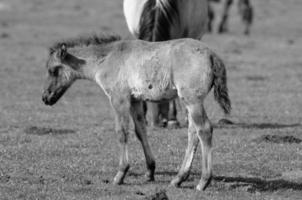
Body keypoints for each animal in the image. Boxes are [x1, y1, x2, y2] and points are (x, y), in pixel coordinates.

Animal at [41, 33, 231, 190]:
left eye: (53, 70)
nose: (45, 97)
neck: (108, 58)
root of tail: (211, 55)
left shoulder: (119, 99)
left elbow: (121, 133)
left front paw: (120, 174)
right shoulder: (135, 101)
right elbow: (141, 132)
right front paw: (150, 172)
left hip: (192, 100)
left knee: (204, 130)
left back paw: (203, 182)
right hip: (189, 102)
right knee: (193, 133)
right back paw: (178, 179)